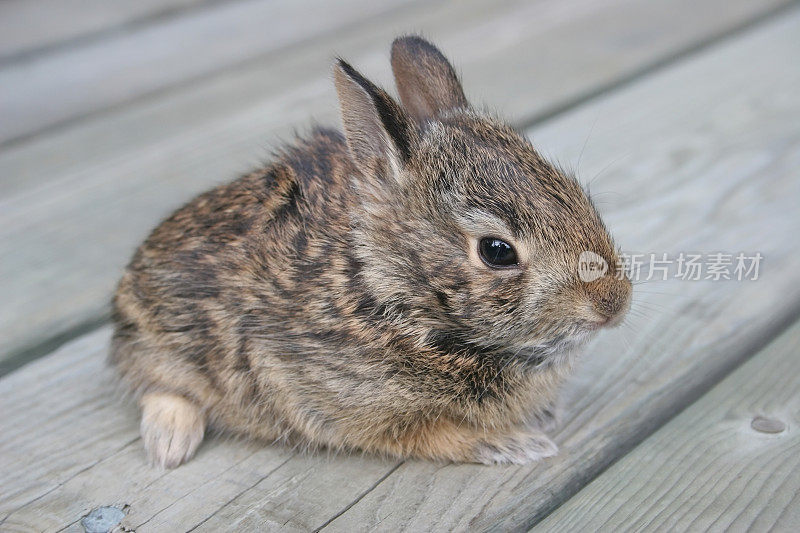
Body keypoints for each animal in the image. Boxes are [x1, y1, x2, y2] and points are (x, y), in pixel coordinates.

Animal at [109, 35, 632, 466]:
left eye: (574, 191)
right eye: (497, 251)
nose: (613, 304)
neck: (388, 290)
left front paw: (542, 416)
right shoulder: (328, 396)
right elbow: (432, 435)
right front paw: (515, 443)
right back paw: (170, 443)